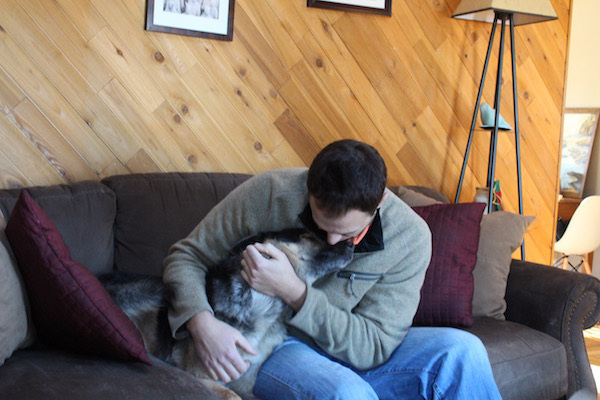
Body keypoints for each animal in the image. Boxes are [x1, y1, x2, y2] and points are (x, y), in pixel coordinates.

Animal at [101, 230, 354, 398]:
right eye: (307, 236)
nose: (352, 245)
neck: (264, 305)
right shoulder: (200, 376)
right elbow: (231, 395)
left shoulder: (248, 383)